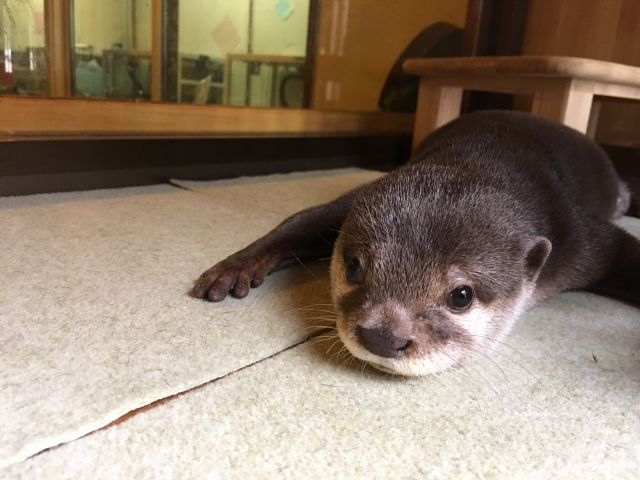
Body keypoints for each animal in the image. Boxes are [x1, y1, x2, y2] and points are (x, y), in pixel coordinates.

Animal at [191, 110, 640, 376]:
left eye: (462, 295)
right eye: (354, 267)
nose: (383, 338)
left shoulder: (579, 236)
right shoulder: (356, 198)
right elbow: (299, 222)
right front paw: (234, 267)